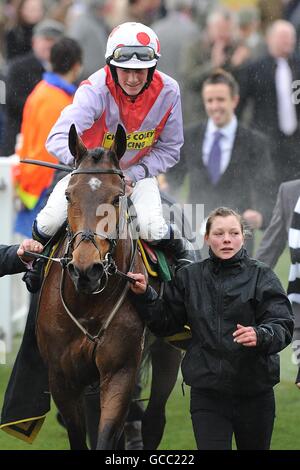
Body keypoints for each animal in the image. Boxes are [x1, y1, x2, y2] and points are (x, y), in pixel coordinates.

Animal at [36, 123, 182, 450]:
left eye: (116, 197)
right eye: (68, 196)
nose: (85, 269)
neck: (88, 303)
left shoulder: (120, 372)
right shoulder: (62, 378)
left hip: (168, 351)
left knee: (155, 418)